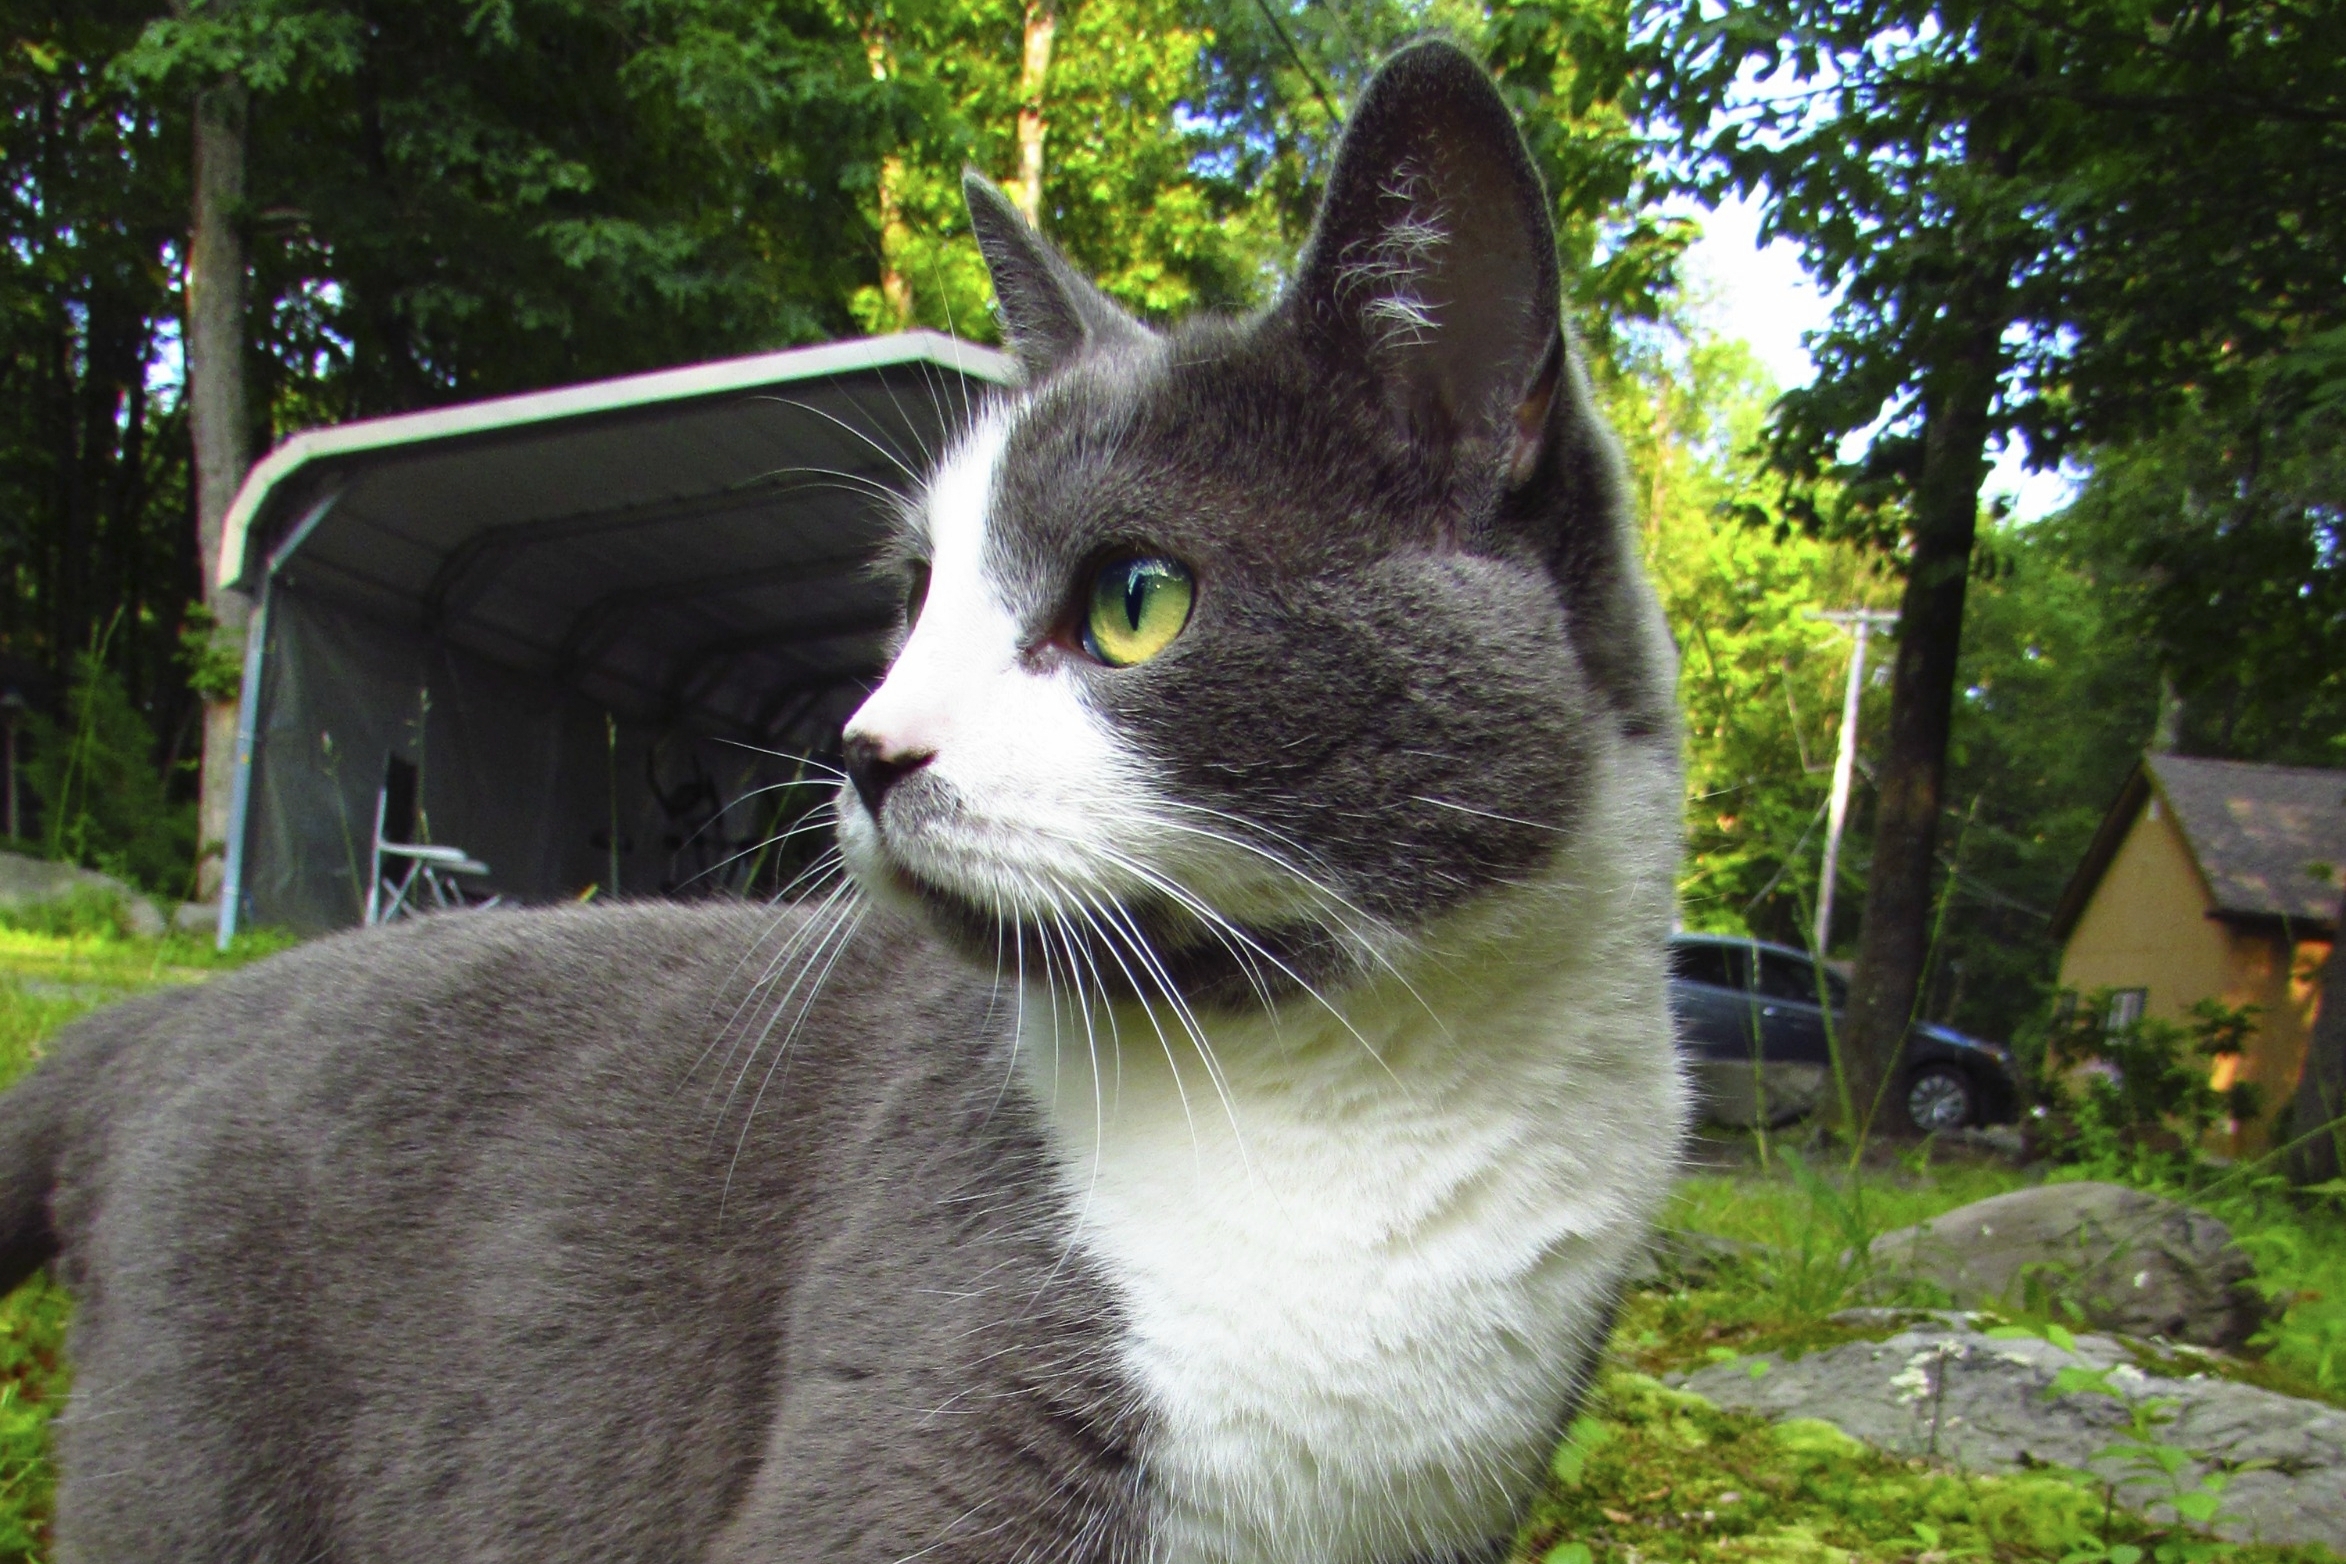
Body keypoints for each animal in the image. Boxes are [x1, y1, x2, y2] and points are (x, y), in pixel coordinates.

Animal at [0, 42, 1689, 1564]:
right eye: (911, 595)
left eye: (1134, 599)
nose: (867, 747)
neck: (1370, 1086)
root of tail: (151, 1023)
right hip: (202, 1459)